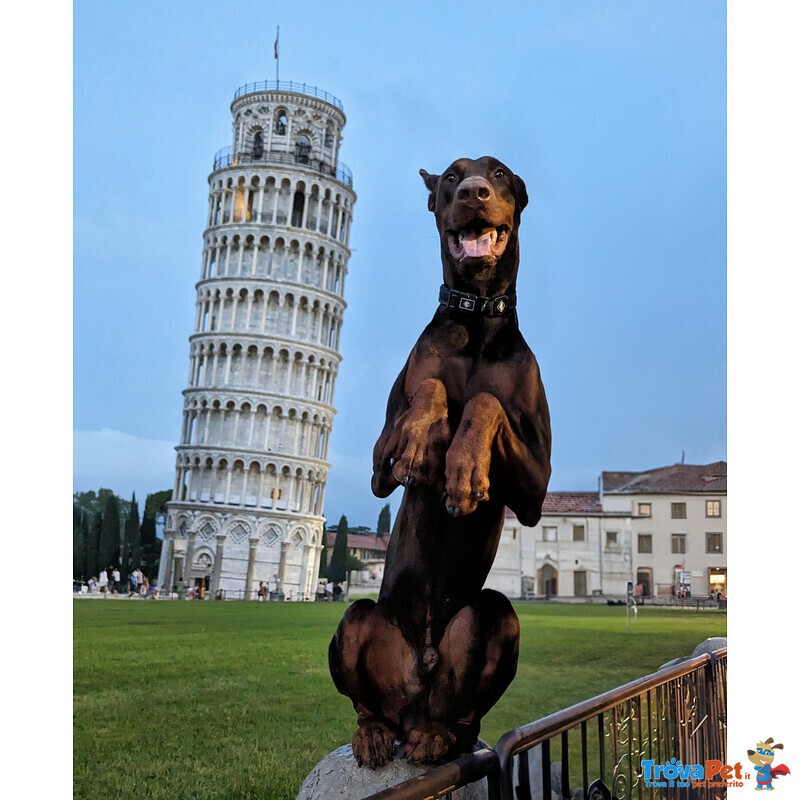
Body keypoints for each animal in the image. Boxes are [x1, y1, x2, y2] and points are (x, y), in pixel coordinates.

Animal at [326, 155, 552, 768]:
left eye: (500, 175)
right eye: (451, 176)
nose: (473, 192)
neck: (475, 323)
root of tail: (414, 706)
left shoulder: (536, 486)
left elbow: (484, 401)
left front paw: (463, 469)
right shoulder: (378, 464)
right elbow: (429, 391)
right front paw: (424, 445)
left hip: (494, 617)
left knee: (465, 717)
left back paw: (439, 737)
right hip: (358, 622)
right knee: (366, 701)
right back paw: (373, 734)